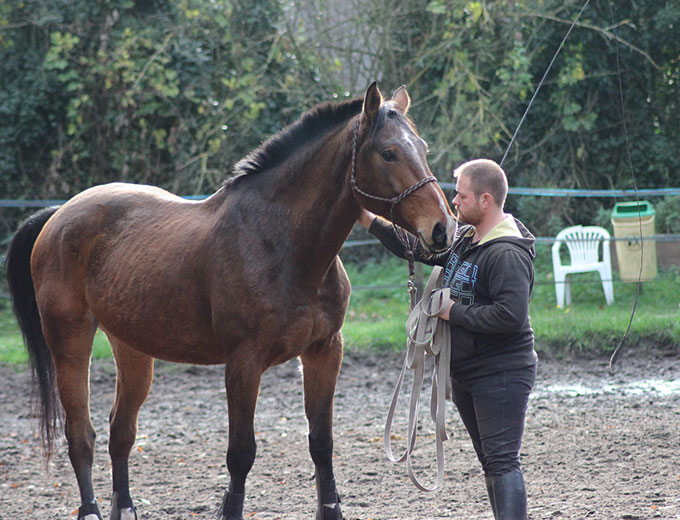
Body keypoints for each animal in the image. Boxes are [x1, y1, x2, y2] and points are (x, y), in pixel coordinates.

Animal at [6, 82, 456, 520]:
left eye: (423, 148)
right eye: (389, 152)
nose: (442, 229)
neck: (283, 243)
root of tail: (57, 215)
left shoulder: (325, 351)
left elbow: (321, 442)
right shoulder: (244, 362)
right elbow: (241, 452)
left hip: (132, 347)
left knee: (121, 433)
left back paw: (127, 508)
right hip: (70, 343)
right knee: (81, 435)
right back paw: (91, 511)